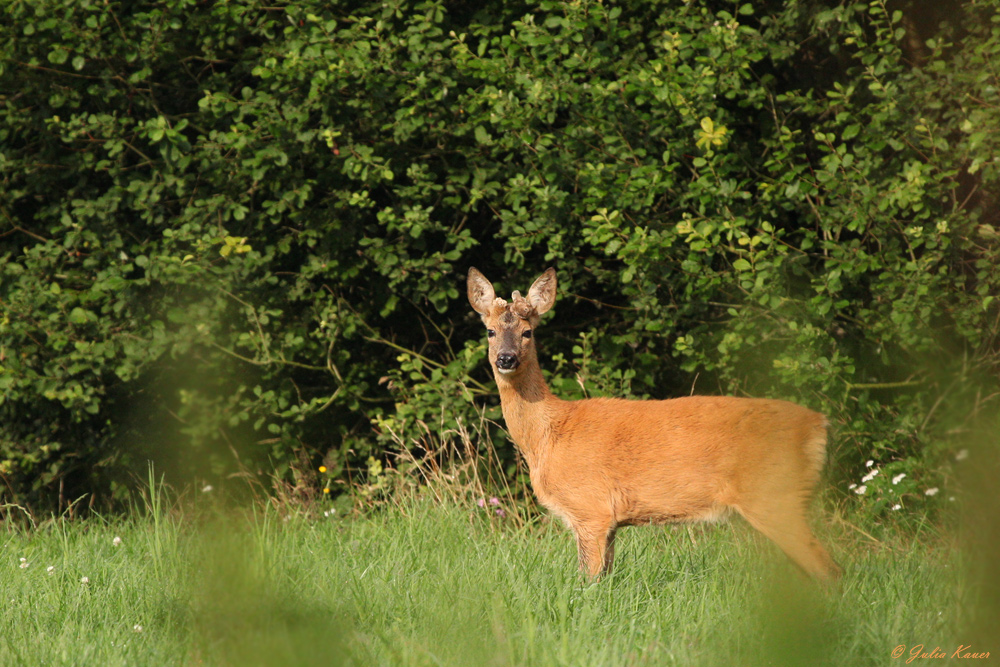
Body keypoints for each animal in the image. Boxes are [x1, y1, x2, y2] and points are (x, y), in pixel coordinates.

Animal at [464, 266, 840, 580]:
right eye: (490, 331)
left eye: (528, 332)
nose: (506, 359)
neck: (546, 437)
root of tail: (818, 425)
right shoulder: (609, 522)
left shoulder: (590, 509)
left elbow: (587, 582)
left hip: (775, 495)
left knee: (827, 567)